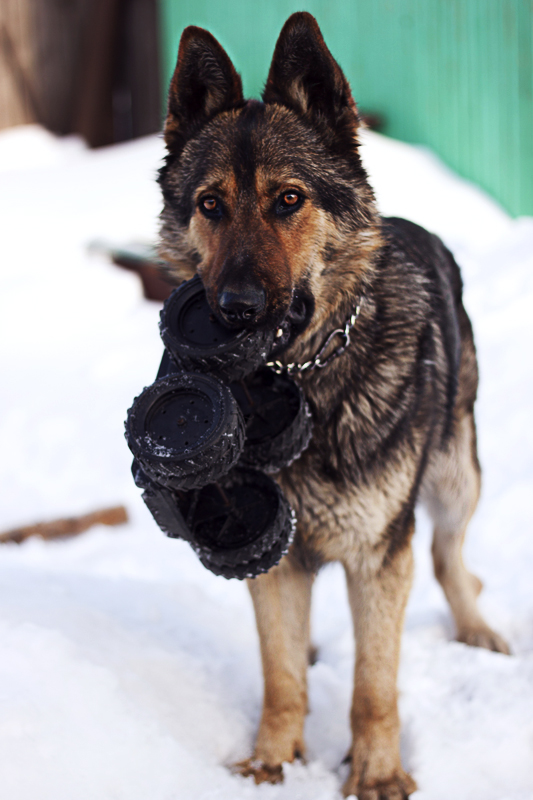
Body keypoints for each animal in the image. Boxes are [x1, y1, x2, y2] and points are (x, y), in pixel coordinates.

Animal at [157, 14, 508, 800]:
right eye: (210, 205)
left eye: (289, 200)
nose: (235, 310)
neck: (304, 381)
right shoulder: (270, 552)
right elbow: (280, 674)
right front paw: (270, 763)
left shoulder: (379, 556)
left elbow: (374, 685)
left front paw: (376, 773)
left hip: (455, 478)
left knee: (448, 555)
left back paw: (476, 628)